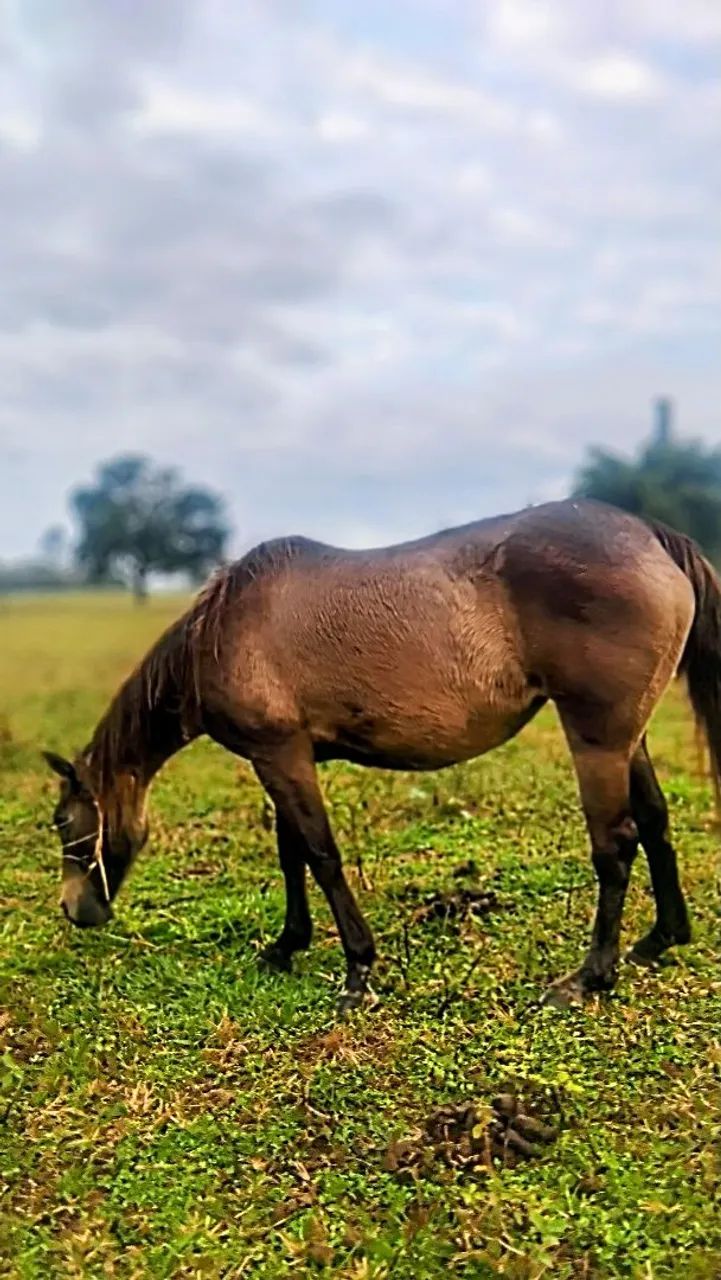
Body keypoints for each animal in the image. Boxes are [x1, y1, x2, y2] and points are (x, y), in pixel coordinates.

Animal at [44, 499, 721, 1011]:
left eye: (61, 824)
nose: (74, 910)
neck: (222, 633)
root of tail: (649, 536)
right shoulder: (284, 758)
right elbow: (292, 853)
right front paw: (287, 946)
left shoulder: (280, 755)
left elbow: (320, 855)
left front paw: (358, 970)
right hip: (626, 736)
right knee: (655, 821)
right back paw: (660, 938)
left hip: (595, 736)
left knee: (615, 844)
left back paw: (590, 977)